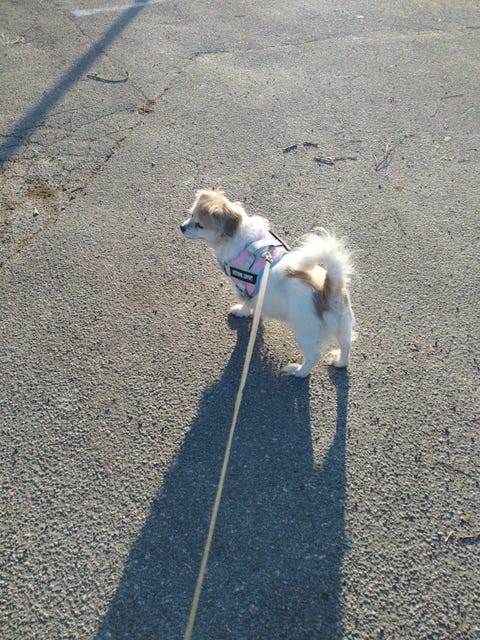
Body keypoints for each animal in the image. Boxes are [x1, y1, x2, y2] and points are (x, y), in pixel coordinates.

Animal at [181, 189, 354, 377]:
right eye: (191, 214)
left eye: (199, 225)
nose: (182, 227)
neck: (238, 237)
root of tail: (328, 289)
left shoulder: (243, 287)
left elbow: (246, 303)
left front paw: (241, 312)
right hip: (343, 325)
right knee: (346, 344)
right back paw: (339, 362)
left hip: (305, 333)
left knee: (313, 356)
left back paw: (298, 371)